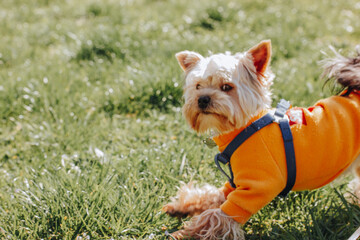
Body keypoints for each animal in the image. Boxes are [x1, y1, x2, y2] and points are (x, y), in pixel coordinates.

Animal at [165, 40, 360, 239]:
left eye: (226, 87)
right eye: (197, 86)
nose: (202, 99)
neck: (247, 128)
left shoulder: (256, 187)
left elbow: (215, 218)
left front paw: (182, 233)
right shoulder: (235, 182)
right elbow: (212, 195)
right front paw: (182, 207)